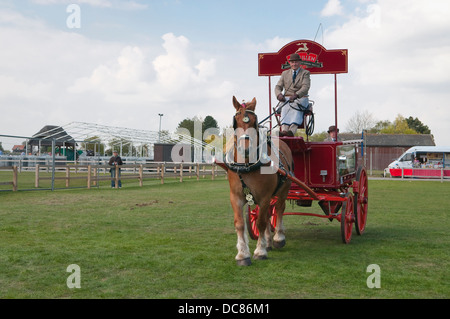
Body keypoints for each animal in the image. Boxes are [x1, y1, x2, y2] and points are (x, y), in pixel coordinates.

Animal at [223, 96, 294, 266]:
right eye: (236, 121)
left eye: (254, 122)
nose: (245, 149)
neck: (247, 166)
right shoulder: (235, 197)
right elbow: (240, 224)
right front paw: (243, 254)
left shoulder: (264, 197)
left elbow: (261, 222)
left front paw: (260, 251)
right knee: (269, 214)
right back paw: (268, 241)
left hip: (284, 188)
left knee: (279, 209)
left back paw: (278, 238)